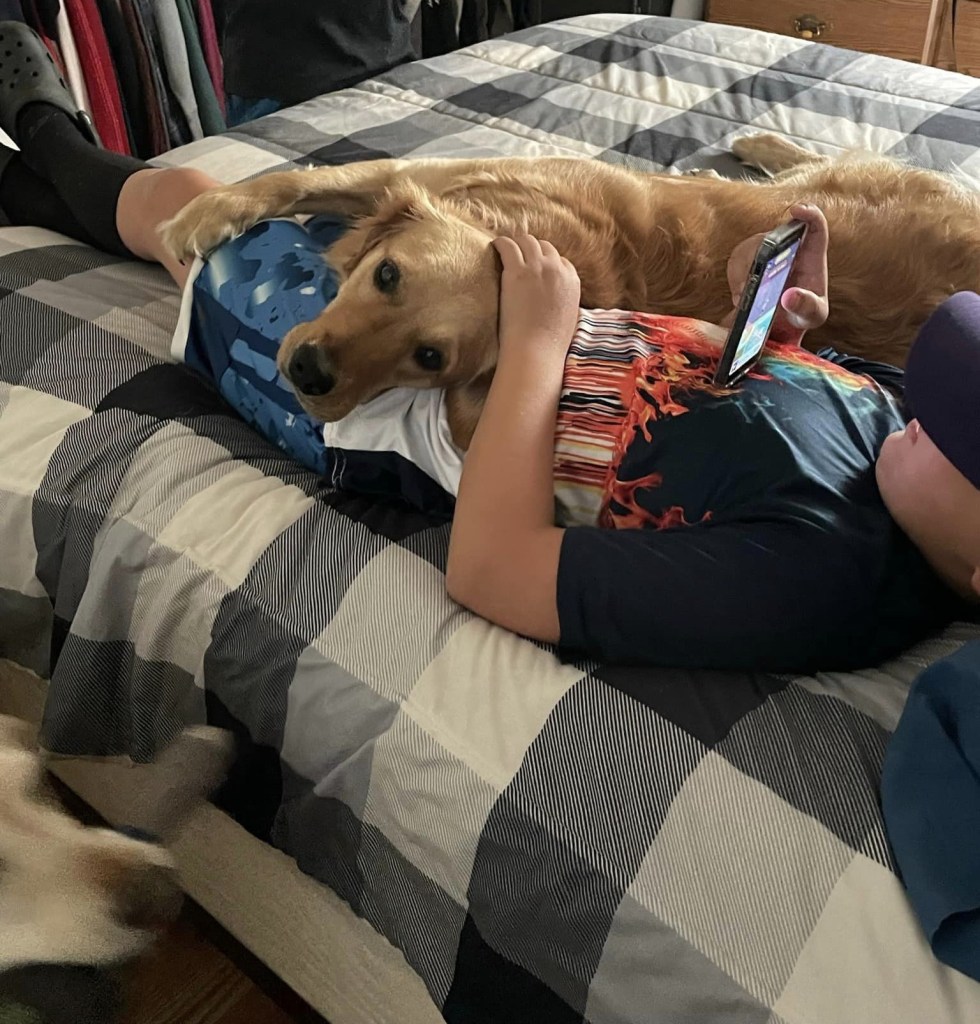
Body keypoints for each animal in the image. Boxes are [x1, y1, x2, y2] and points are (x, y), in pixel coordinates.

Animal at [160, 133, 978, 448]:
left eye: (429, 359)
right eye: (386, 275)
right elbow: (294, 179)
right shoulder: (423, 175)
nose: (307, 370)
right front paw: (203, 215)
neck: (532, 232)